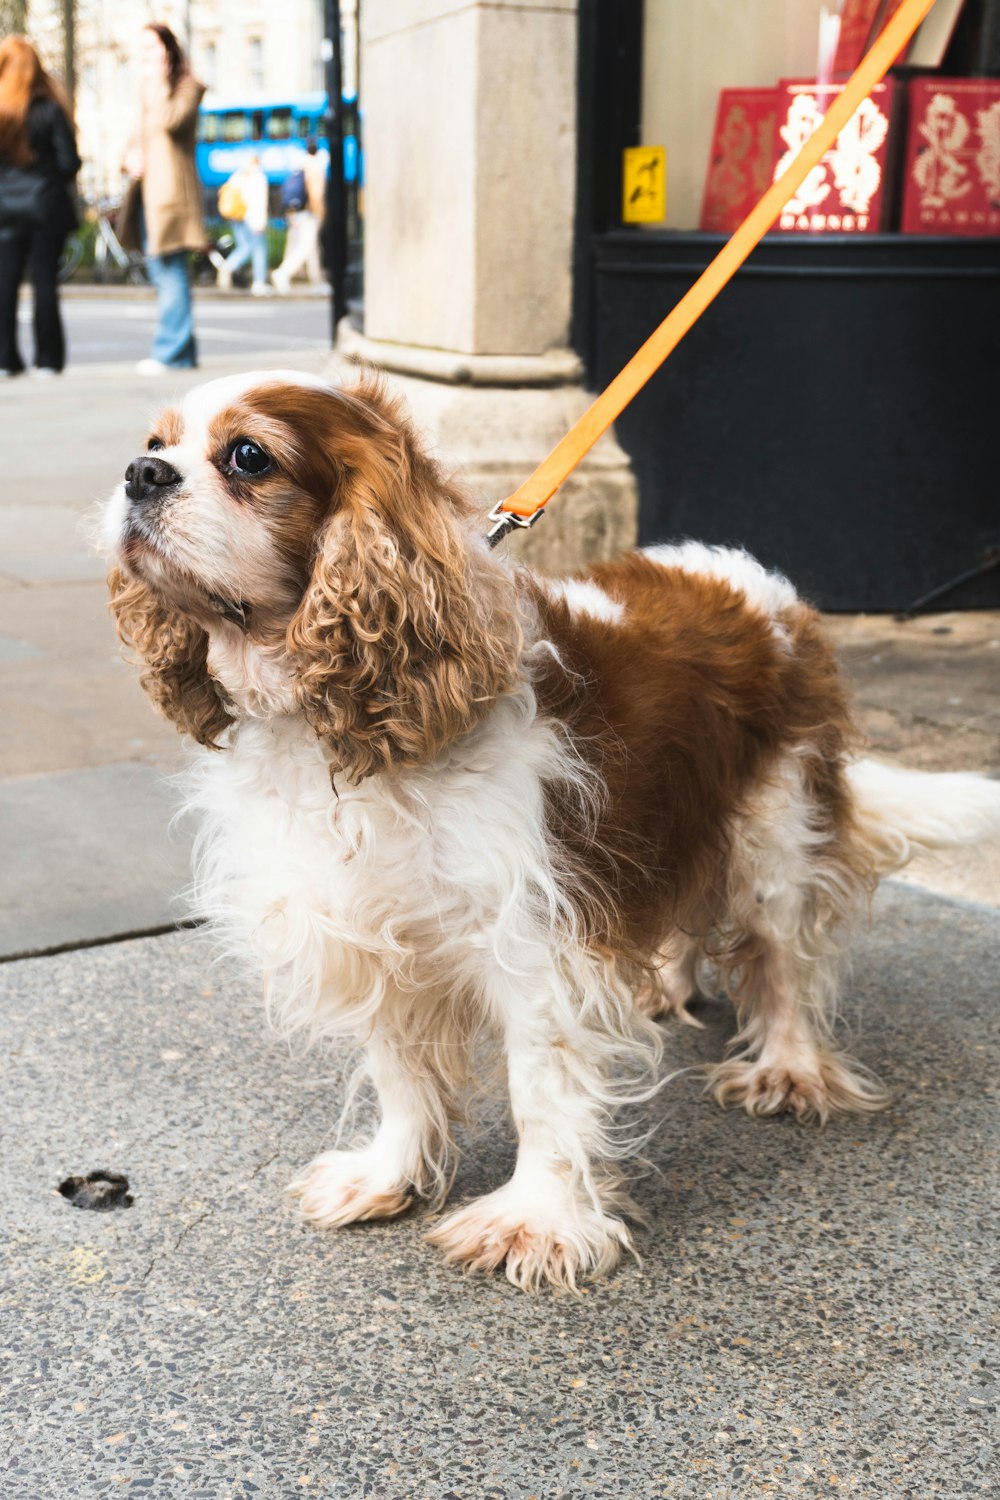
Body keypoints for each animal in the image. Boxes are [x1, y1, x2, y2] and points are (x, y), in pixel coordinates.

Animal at [101, 372, 1000, 1290]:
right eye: (156, 441)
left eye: (249, 456)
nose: (142, 473)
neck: (329, 725)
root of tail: (758, 584)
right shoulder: (372, 926)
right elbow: (400, 1073)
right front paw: (389, 1176)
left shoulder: (531, 937)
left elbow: (541, 1085)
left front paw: (536, 1219)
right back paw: (662, 985)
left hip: (772, 834)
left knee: (784, 960)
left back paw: (789, 1067)